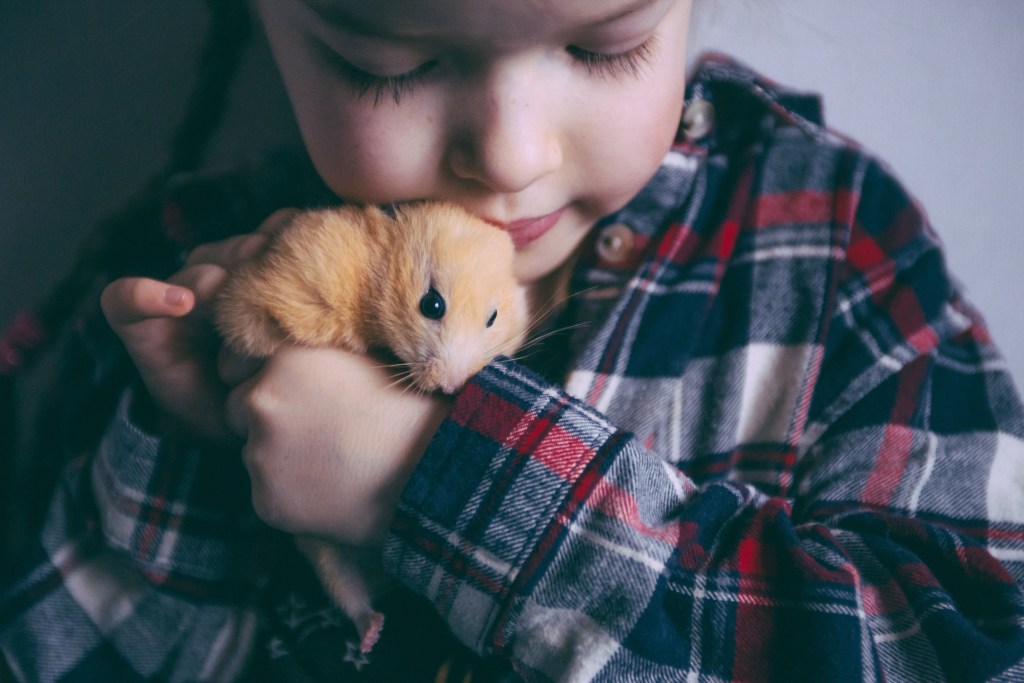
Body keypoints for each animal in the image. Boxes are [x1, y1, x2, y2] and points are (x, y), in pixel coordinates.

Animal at [217, 201, 536, 651]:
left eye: (493, 317)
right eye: (431, 305)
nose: (453, 387)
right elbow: (253, 330)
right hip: (323, 550)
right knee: (346, 586)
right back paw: (371, 633)